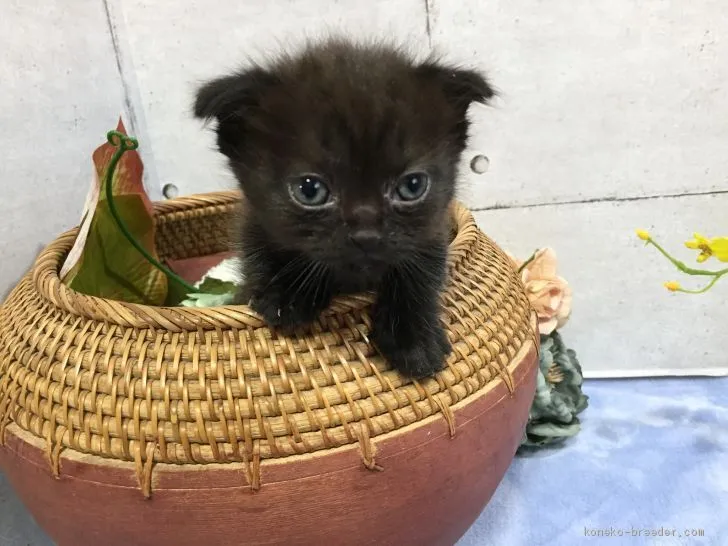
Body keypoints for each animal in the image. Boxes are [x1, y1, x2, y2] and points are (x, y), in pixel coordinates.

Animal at [193, 38, 492, 376]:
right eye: (310, 190)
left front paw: (414, 341)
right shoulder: (255, 232)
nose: (366, 235)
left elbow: (421, 272)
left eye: (412, 186)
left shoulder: (431, 232)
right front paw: (288, 295)